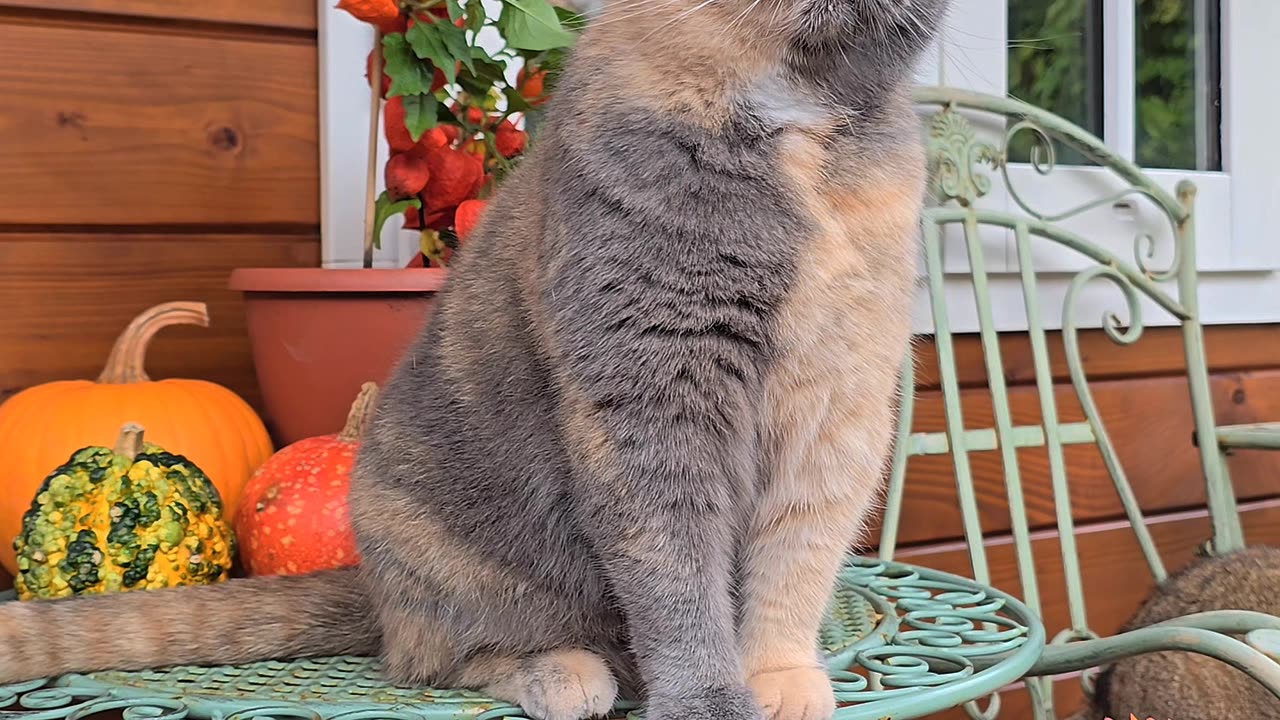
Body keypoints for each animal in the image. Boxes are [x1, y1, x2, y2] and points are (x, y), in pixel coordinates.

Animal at [0, 1, 952, 717]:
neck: (799, 119)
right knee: (436, 657)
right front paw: (711, 702)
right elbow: (679, 580)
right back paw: (563, 673)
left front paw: (781, 678)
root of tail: (372, 583)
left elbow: (797, 559)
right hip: (438, 548)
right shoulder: (650, 401)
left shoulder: (839, 406)